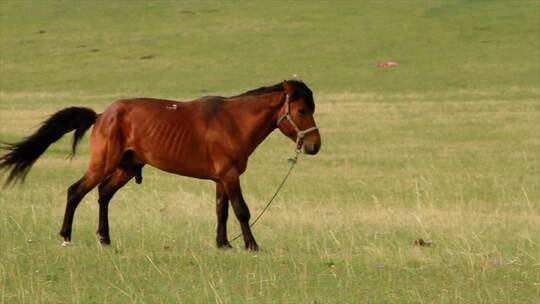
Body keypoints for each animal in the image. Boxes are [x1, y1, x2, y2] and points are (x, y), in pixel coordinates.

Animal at [0, 79, 320, 251]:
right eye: (302, 110)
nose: (315, 145)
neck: (233, 122)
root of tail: (102, 115)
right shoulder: (230, 176)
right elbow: (241, 210)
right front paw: (251, 245)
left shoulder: (221, 179)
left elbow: (221, 211)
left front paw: (224, 244)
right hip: (104, 163)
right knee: (75, 191)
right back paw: (66, 236)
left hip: (126, 167)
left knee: (104, 193)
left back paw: (105, 238)